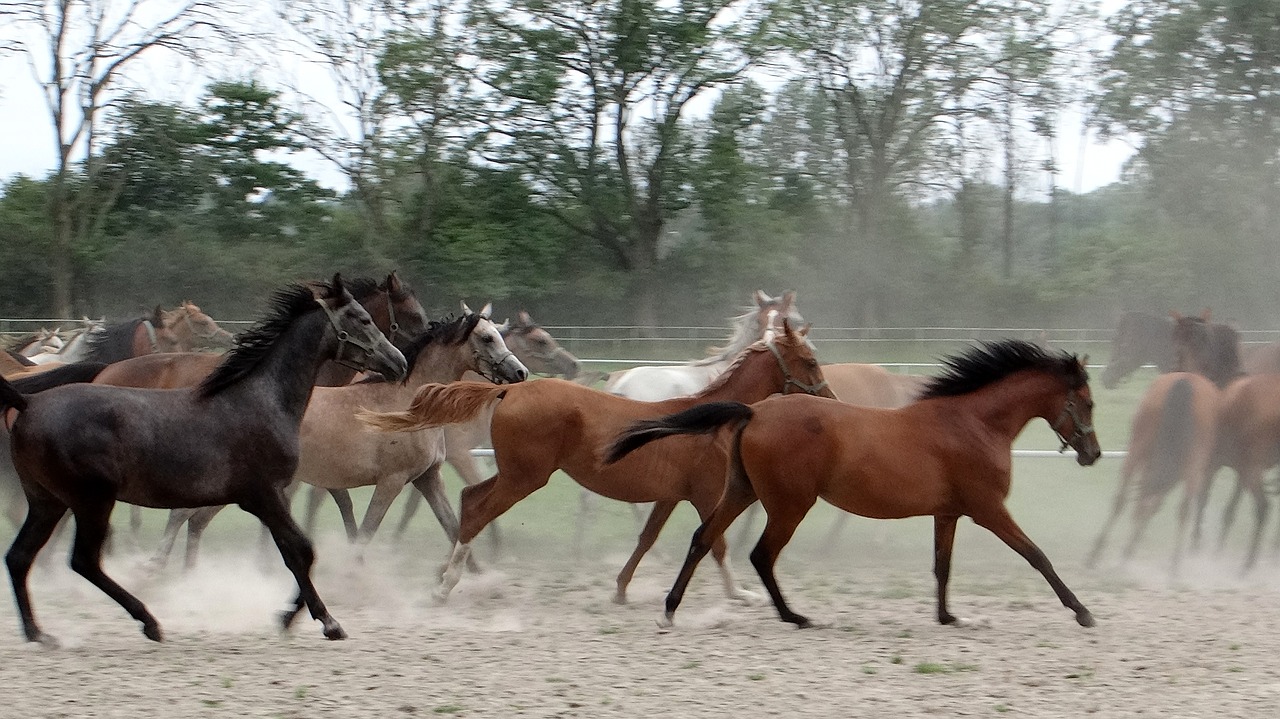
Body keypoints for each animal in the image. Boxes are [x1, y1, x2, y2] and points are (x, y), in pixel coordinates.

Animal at [0, 275, 407, 644]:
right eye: (362, 319)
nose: (399, 362)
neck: (261, 400)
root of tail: (29, 402)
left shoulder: (267, 499)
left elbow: (295, 553)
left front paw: (288, 617)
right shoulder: (266, 495)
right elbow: (301, 552)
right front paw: (326, 622)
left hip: (47, 501)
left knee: (20, 557)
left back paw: (38, 633)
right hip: (91, 501)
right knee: (83, 561)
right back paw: (149, 622)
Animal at [149, 304, 529, 568]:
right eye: (487, 338)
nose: (520, 372)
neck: (408, 403)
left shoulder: (427, 477)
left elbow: (452, 528)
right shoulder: (391, 481)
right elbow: (365, 534)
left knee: (192, 519)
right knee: (186, 517)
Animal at [358, 316, 839, 601]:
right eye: (810, 360)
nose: (832, 401)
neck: (710, 418)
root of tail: (510, 388)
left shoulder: (671, 495)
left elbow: (647, 537)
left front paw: (621, 588)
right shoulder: (705, 493)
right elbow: (714, 541)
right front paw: (740, 593)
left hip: (515, 475)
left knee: (468, 500)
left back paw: (447, 574)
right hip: (524, 478)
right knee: (476, 510)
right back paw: (447, 585)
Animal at [606, 337, 1100, 624]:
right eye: (1089, 402)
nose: (1093, 454)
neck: (973, 423)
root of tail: (755, 410)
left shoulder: (948, 514)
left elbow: (942, 565)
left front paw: (946, 617)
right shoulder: (989, 510)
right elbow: (1037, 556)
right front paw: (1082, 611)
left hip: (741, 492)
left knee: (704, 538)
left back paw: (670, 610)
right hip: (790, 505)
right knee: (761, 554)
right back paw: (793, 616)